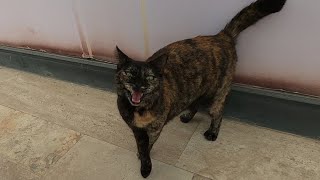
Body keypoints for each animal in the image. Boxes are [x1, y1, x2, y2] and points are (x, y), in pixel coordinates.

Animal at [115, 0, 284, 177]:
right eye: (129, 73)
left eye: (149, 77)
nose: (139, 85)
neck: (139, 109)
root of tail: (221, 36)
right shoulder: (136, 130)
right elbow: (141, 145)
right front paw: (141, 156)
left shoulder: (154, 130)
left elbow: (147, 147)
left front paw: (145, 165)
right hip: (195, 90)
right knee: (195, 104)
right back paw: (187, 116)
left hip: (218, 93)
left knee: (218, 112)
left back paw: (213, 132)